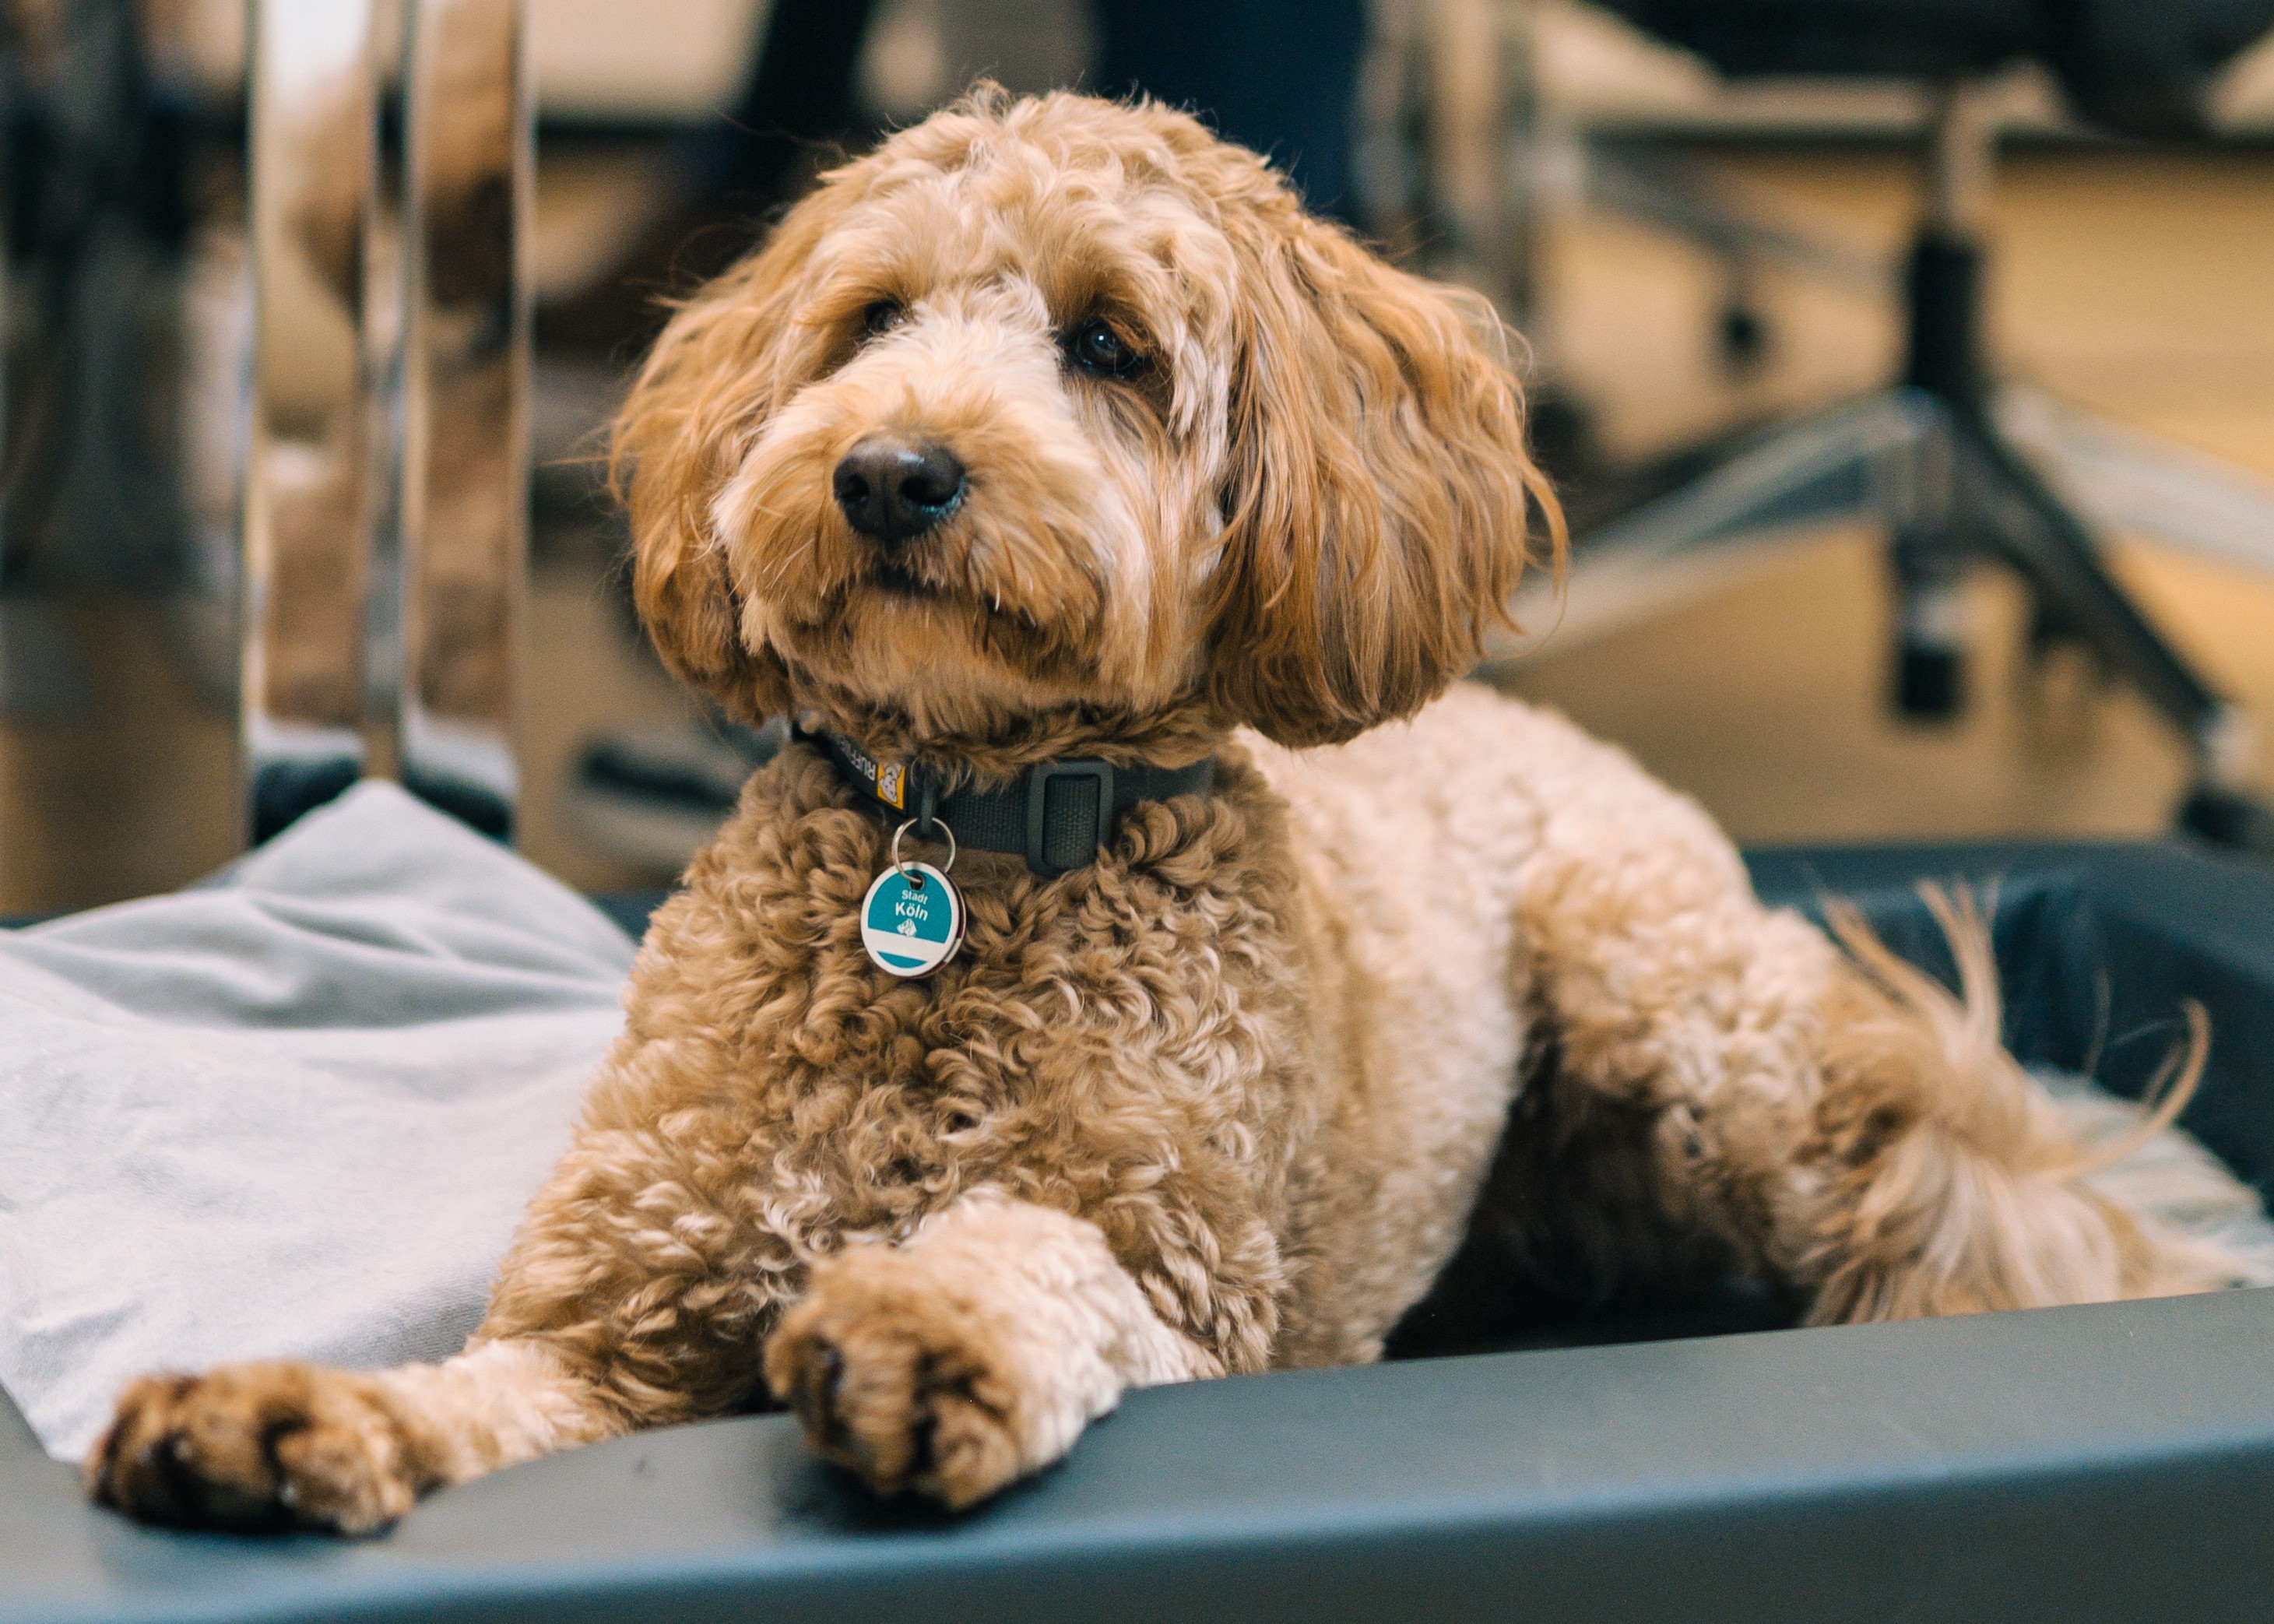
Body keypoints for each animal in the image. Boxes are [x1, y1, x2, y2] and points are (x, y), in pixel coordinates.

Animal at [93, 91, 2237, 1528]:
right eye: (865, 321)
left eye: (1109, 345)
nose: (885, 472)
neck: (955, 851)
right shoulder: (613, 1321)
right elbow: (478, 1396)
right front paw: (291, 1419)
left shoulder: (1186, 1284)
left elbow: (1035, 1264)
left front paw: (925, 1331)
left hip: (1697, 1032)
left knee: (1945, 1188)